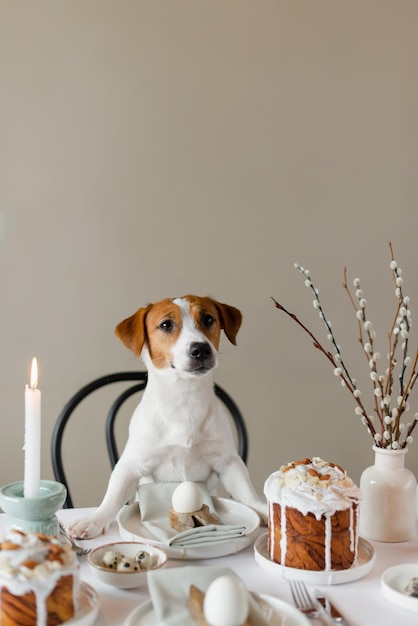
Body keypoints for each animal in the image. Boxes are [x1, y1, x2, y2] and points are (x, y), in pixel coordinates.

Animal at [67, 294, 266, 536]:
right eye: (166, 325)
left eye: (208, 319)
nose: (200, 349)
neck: (184, 400)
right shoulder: (131, 464)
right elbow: (113, 496)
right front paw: (94, 520)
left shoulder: (228, 461)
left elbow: (246, 490)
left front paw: (262, 509)